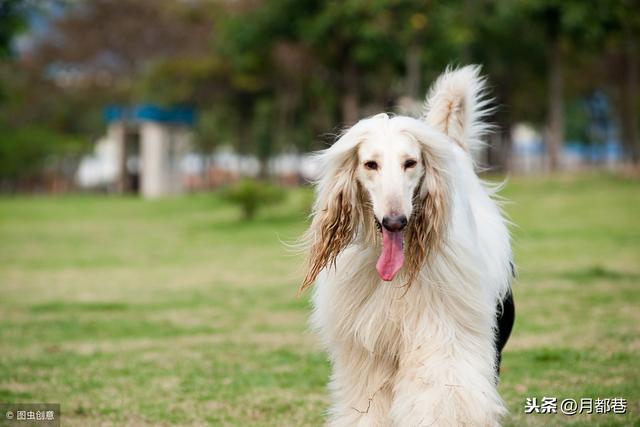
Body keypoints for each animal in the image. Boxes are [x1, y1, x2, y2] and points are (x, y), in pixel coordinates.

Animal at [298, 65, 516, 426]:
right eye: (370, 164)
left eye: (410, 162)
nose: (395, 221)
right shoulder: (369, 349)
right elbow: (369, 402)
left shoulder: (443, 331)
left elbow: (442, 393)